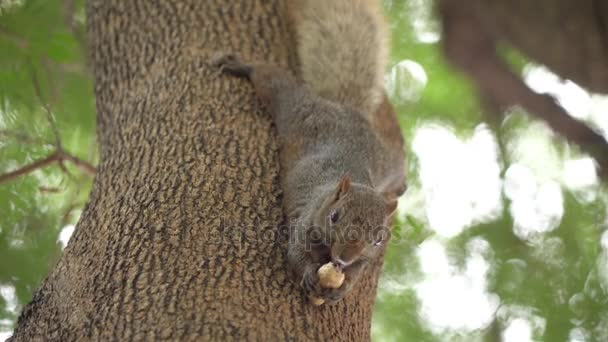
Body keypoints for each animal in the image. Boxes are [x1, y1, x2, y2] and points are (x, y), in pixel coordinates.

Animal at [211, 0, 406, 304]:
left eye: (378, 238)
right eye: (334, 216)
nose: (343, 258)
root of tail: (349, 112)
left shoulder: (365, 258)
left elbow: (357, 272)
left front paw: (341, 289)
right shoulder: (305, 222)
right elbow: (296, 255)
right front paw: (309, 276)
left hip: (386, 162)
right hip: (294, 105)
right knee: (273, 81)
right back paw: (239, 65)